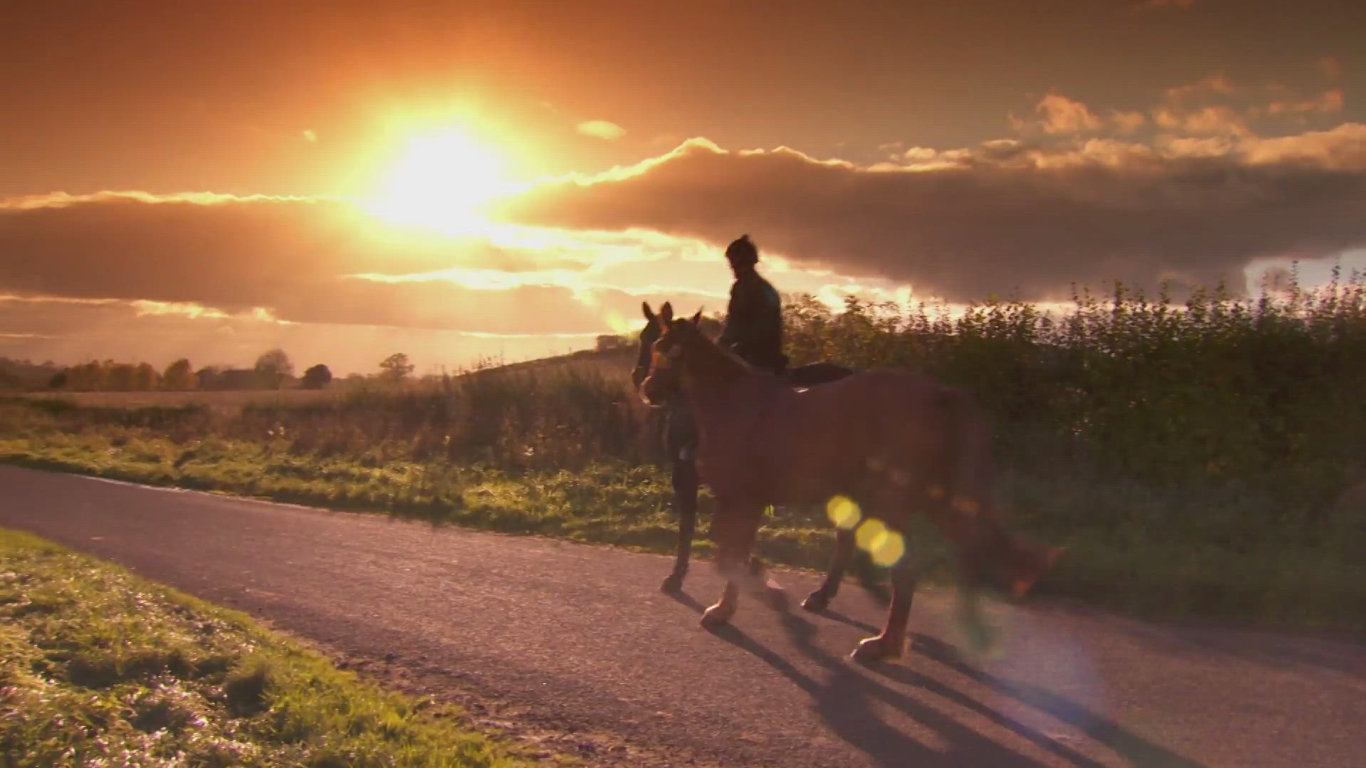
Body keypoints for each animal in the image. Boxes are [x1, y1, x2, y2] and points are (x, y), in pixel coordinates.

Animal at [633, 302, 1060, 661]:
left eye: (672, 350)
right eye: (656, 344)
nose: (648, 389)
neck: (735, 405)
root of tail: (941, 394)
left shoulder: (742, 500)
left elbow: (730, 558)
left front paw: (729, 608)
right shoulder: (734, 502)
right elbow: (730, 554)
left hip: (892, 504)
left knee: (905, 569)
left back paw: (882, 645)